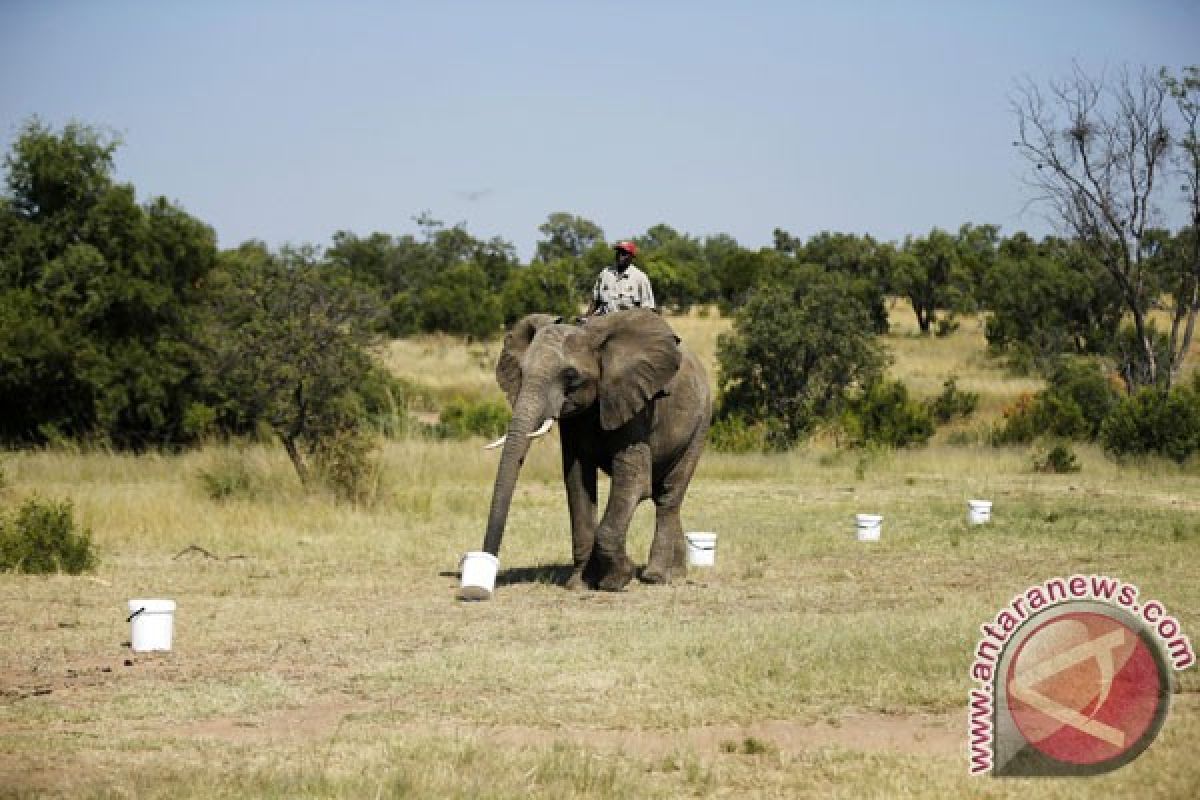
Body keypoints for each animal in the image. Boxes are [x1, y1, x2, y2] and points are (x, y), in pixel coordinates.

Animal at [470, 309, 710, 594]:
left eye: (570, 376)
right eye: (522, 371)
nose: (483, 577)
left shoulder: (635, 406)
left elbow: (634, 482)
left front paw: (616, 580)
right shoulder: (574, 420)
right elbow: (577, 480)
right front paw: (579, 584)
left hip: (701, 422)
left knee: (669, 495)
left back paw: (656, 577)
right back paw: (676, 574)